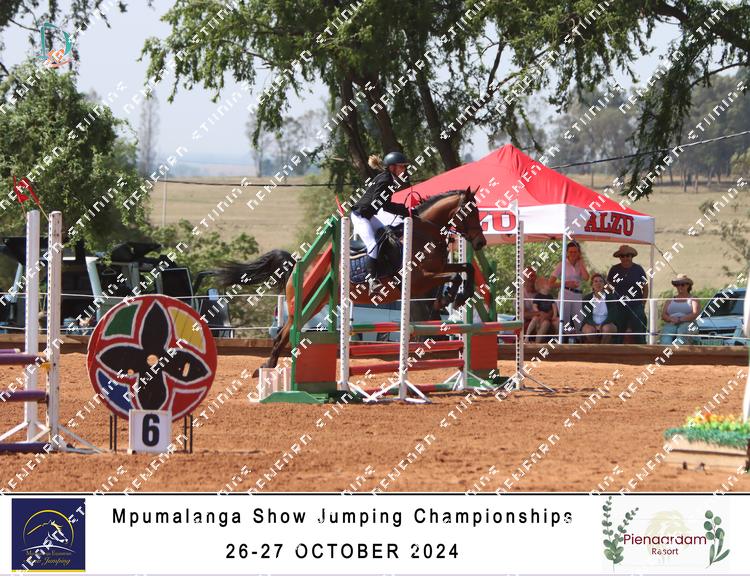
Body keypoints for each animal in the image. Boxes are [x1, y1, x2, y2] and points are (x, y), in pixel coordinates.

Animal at [216, 188, 487, 373]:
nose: (481, 243)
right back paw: (267, 366)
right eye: (470, 211)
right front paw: (447, 299)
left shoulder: (437, 268)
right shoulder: (420, 279)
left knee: (284, 333)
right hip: (302, 305)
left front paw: (459, 296)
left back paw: (267, 366)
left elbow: (464, 269)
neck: (424, 233)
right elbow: (453, 276)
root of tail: (298, 264)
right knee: (283, 334)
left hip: (315, 303)